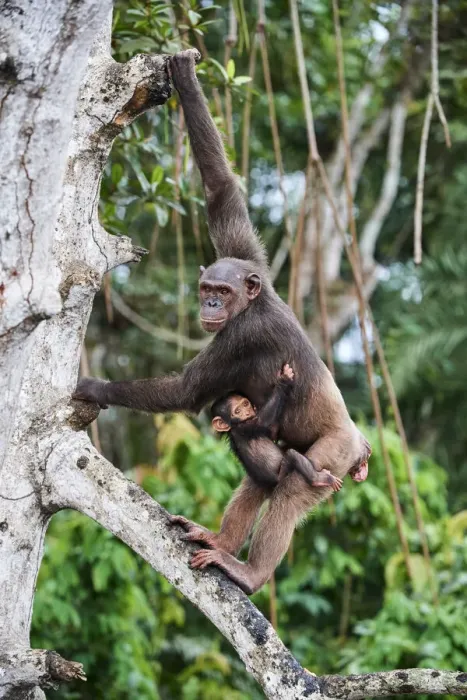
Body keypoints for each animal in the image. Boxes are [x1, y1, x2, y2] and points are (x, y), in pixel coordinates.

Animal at [211, 363, 343, 492]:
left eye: (245, 404)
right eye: (237, 411)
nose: (247, 412)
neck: (234, 425)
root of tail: (273, 484)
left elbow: (271, 433)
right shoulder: (245, 428)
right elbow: (262, 421)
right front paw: (284, 379)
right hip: (283, 473)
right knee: (292, 455)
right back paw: (320, 479)